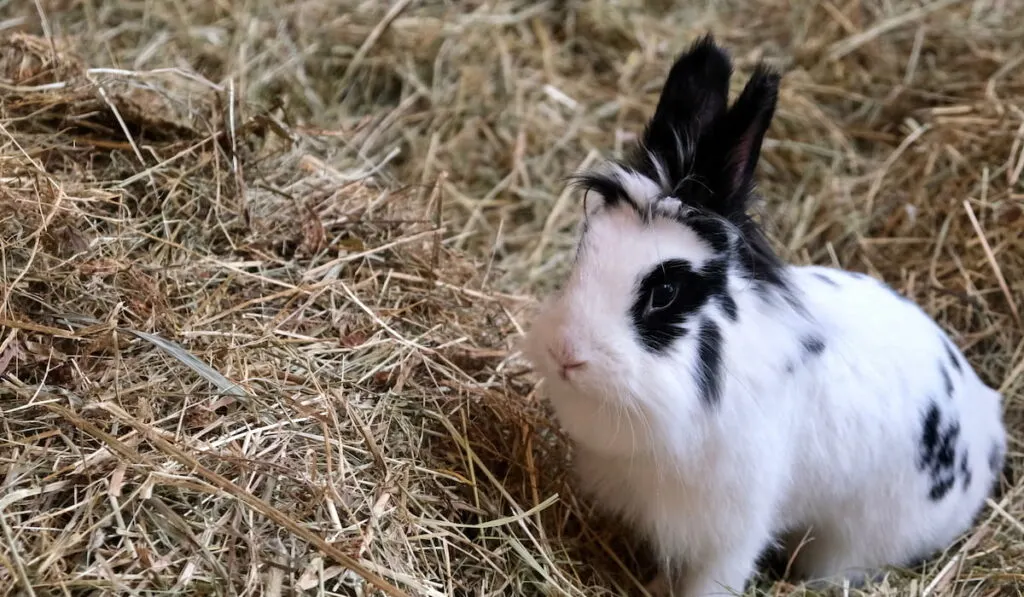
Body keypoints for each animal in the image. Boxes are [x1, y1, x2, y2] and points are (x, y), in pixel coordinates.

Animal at [520, 36, 1007, 597]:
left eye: (665, 291)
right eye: (584, 249)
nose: (566, 353)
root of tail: (989, 429)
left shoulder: (729, 533)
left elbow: (711, 581)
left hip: (853, 543)